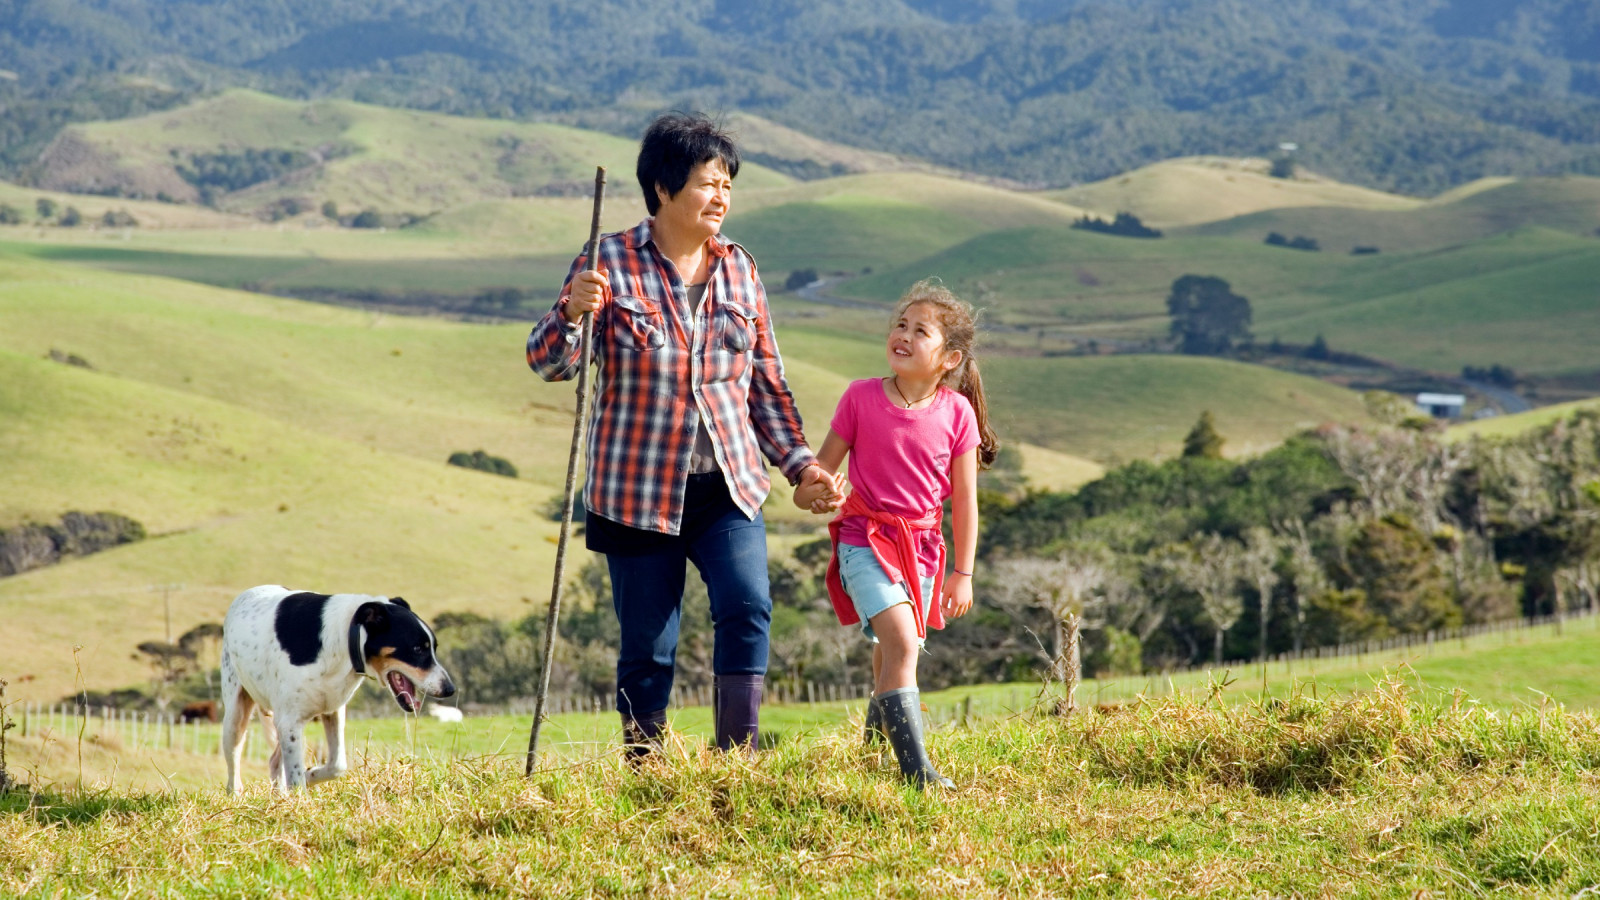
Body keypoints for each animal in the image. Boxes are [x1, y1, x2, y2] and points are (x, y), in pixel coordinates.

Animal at [222, 589, 457, 791]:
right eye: (417, 649)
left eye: (433, 647)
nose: (450, 689)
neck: (344, 640)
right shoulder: (289, 721)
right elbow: (296, 777)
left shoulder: (332, 712)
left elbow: (337, 766)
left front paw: (310, 775)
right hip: (235, 717)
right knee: (234, 769)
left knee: (273, 761)